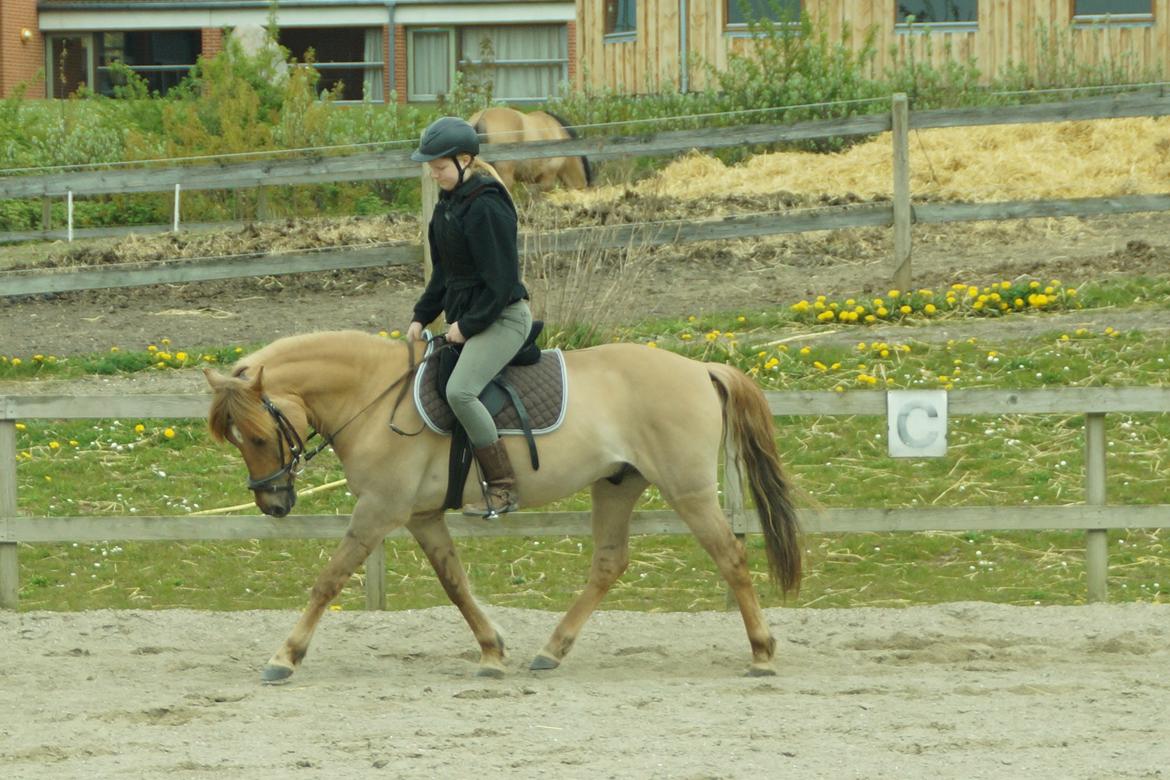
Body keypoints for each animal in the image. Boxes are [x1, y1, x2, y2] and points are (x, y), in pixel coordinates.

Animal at [203, 332, 804, 682]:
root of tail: (700, 367)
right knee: (609, 563)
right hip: (616, 484)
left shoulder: (379, 510)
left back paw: (762, 652)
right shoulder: (420, 516)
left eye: (259, 436)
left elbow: (329, 580)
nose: (273, 503)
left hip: (687, 489)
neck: (374, 396)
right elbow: (454, 583)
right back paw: (551, 650)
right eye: (234, 439)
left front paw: (285, 657)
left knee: (730, 557)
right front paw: (492, 650)